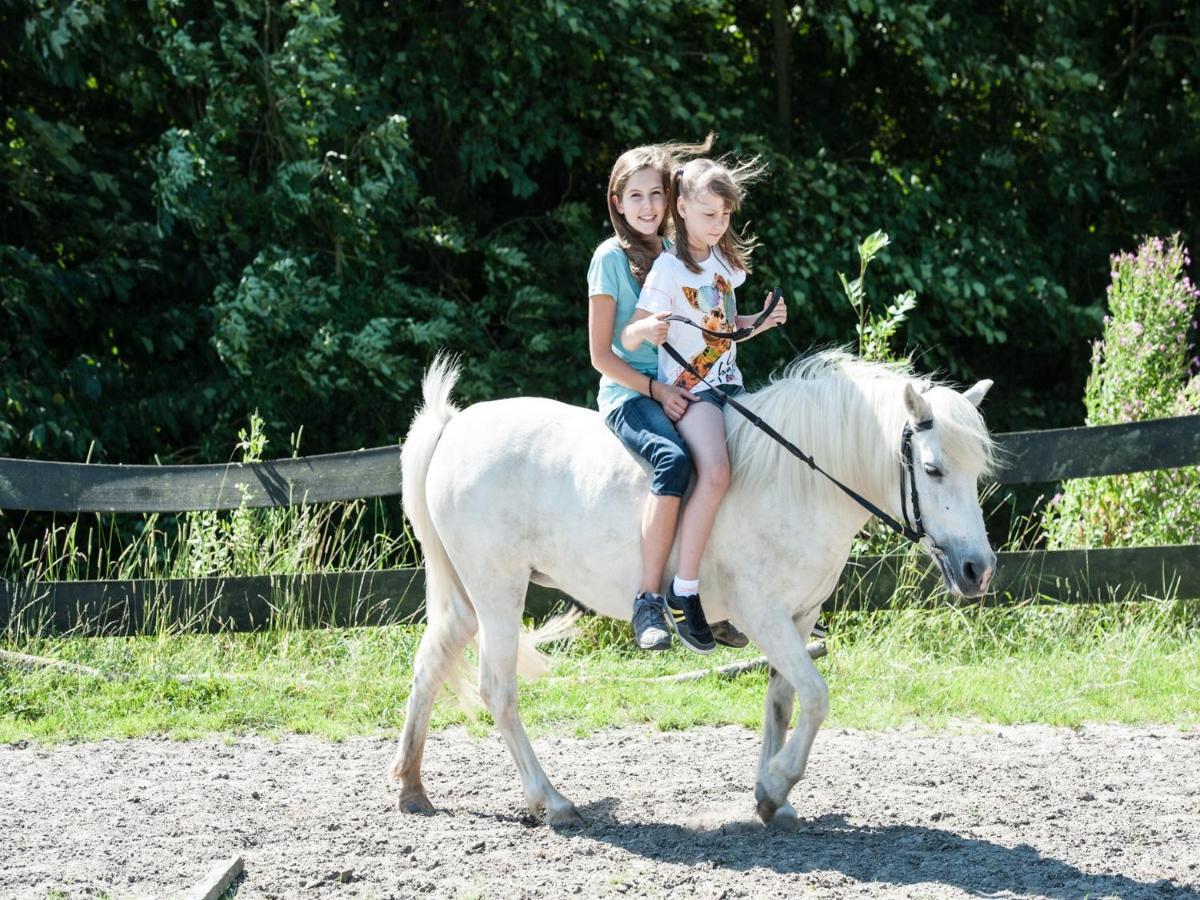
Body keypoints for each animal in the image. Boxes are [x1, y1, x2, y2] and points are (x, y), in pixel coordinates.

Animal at [388, 348, 998, 830]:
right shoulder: (764, 615)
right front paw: (777, 783)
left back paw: (412, 788)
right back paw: (552, 801)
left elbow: (781, 701)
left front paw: (772, 801)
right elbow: (817, 696)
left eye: (976, 473)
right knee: (498, 689)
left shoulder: (798, 618)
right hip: (499, 590)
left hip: (469, 595)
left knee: (430, 662)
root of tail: (454, 426)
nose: (978, 570)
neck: (801, 482)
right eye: (933, 469)